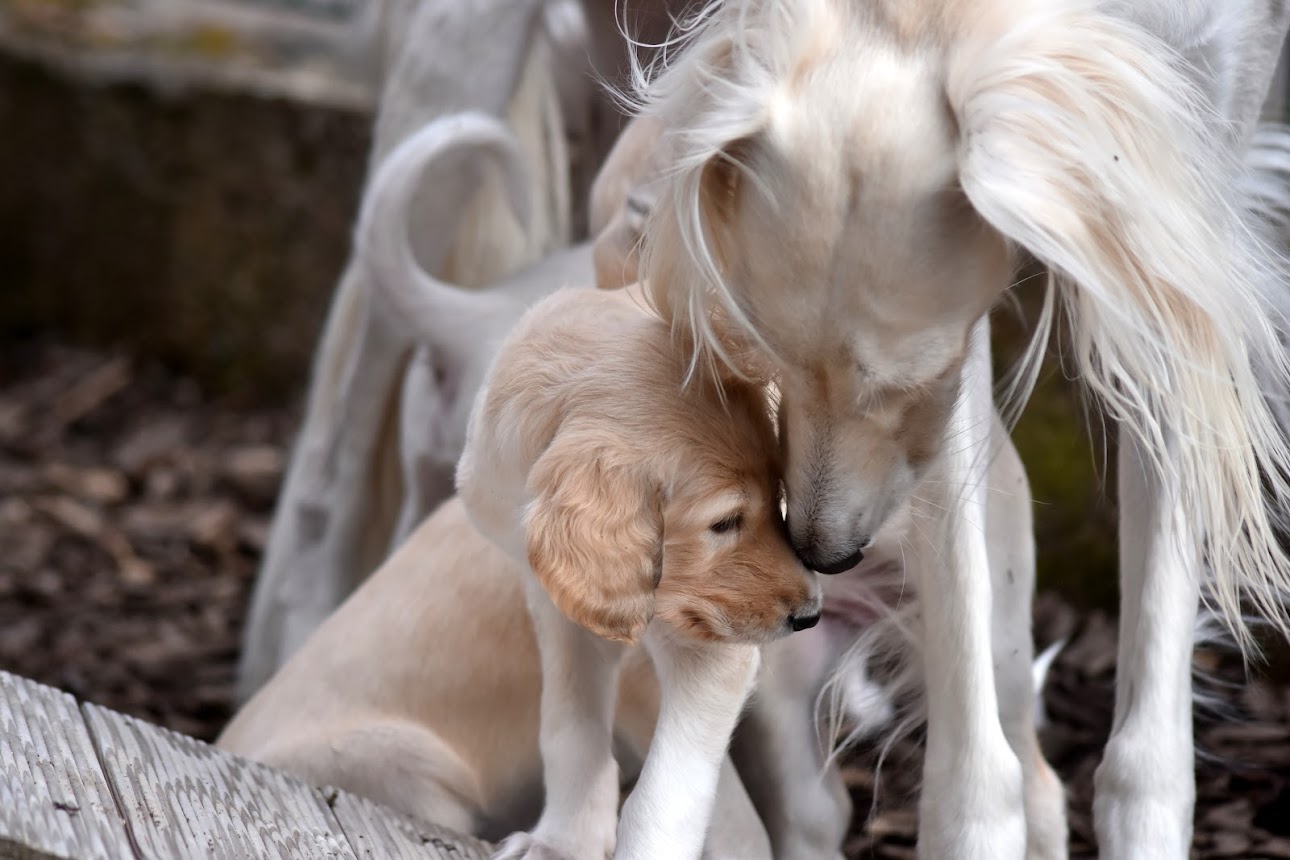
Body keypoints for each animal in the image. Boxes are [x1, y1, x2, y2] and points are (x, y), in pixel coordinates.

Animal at [634, 1, 1290, 860]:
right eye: (767, 351)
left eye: (904, 383)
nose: (823, 554)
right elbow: (972, 779)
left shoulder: (1180, 227)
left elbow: (1145, 757)